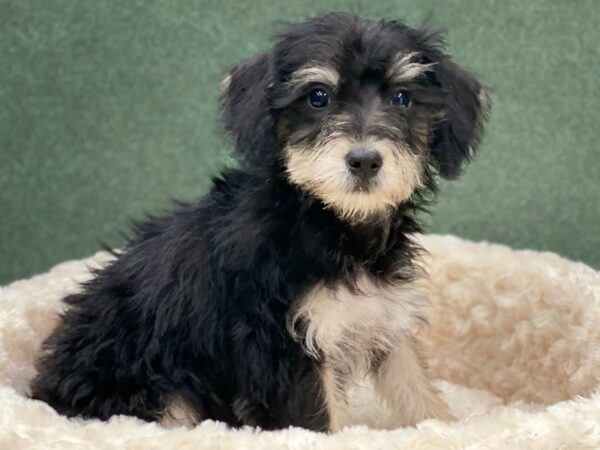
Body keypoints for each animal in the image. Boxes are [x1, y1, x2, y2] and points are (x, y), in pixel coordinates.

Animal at [30, 12, 488, 430]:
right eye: (317, 96)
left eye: (402, 98)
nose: (364, 160)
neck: (328, 222)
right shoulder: (284, 347)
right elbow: (322, 423)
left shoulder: (383, 317)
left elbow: (418, 391)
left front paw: (453, 429)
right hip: (157, 391)